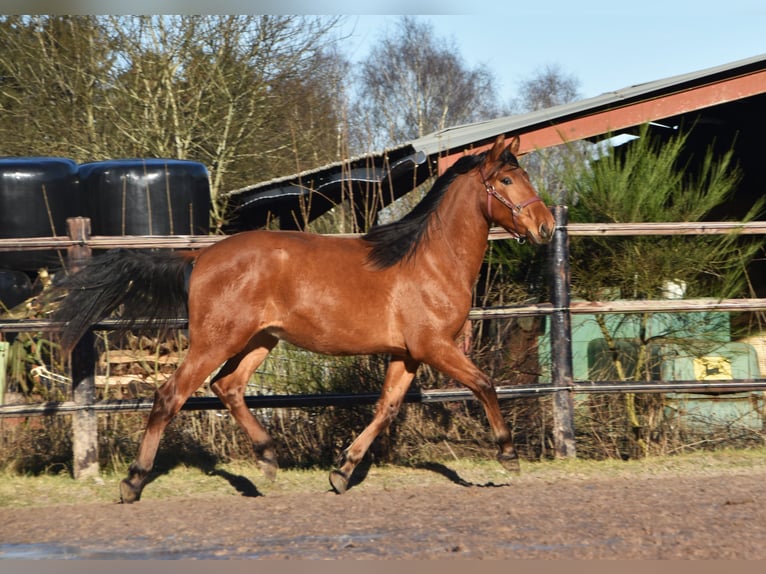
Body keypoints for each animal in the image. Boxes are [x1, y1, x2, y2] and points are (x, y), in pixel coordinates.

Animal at [51, 135, 556, 504]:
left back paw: (268, 459)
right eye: (507, 179)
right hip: (214, 341)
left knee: (228, 387)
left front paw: (342, 471)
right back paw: (134, 482)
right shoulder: (436, 346)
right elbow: (484, 384)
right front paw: (508, 453)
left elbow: (386, 407)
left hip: (260, 340)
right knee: (170, 396)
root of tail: (200, 256)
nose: (546, 228)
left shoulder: (408, 354)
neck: (430, 259)